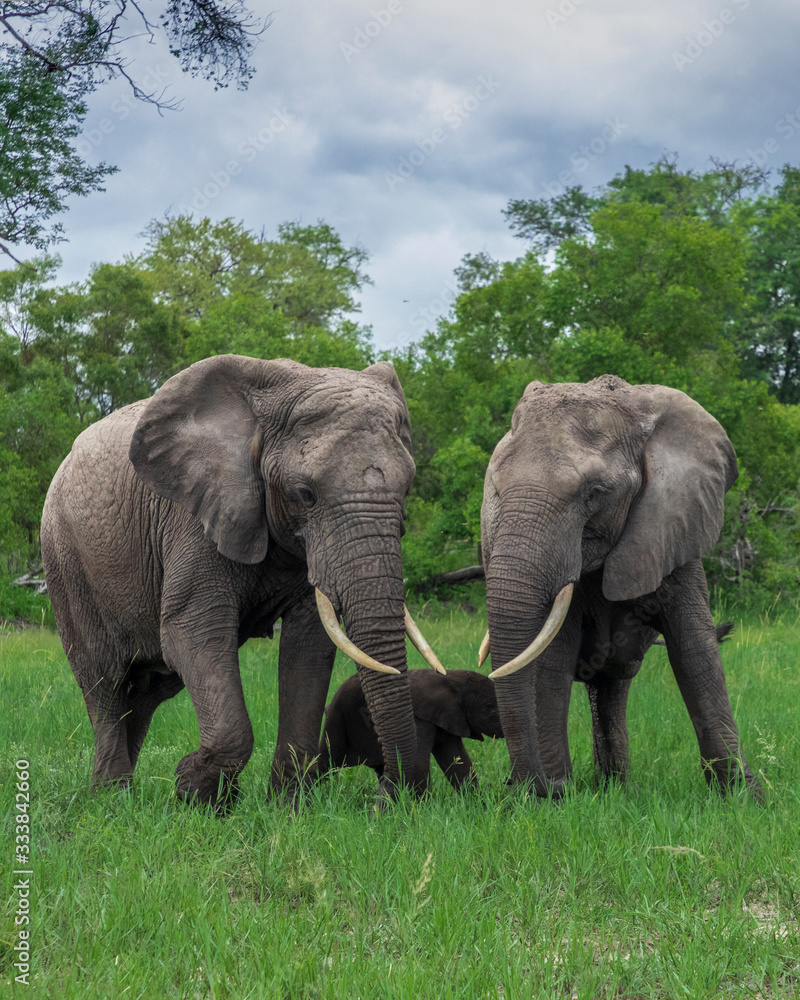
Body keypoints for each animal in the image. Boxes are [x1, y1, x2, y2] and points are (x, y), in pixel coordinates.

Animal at [40, 356, 440, 808]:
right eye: (305, 493)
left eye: (407, 489)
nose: (385, 795)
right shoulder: (194, 520)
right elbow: (191, 632)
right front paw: (194, 794)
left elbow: (309, 646)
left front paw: (288, 808)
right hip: (66, 561)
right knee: (104, 681)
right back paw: (112, 799)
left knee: (146, 692)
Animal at [318, 668, 500, 792]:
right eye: (490, 708)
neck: (451, 678)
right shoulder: (418, 720)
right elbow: (418, 764)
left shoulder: (449, 720)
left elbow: (459, 762)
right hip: (337, 721)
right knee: (324, 763)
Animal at [478, 376, 764, 804]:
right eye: (495, 488)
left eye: (594, 493)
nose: (533, 787)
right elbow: (553, 659)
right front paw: (555, 798)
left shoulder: (674, 529)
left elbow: (694, 651)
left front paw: (746, 799)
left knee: (613, 687)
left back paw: (615, 787)